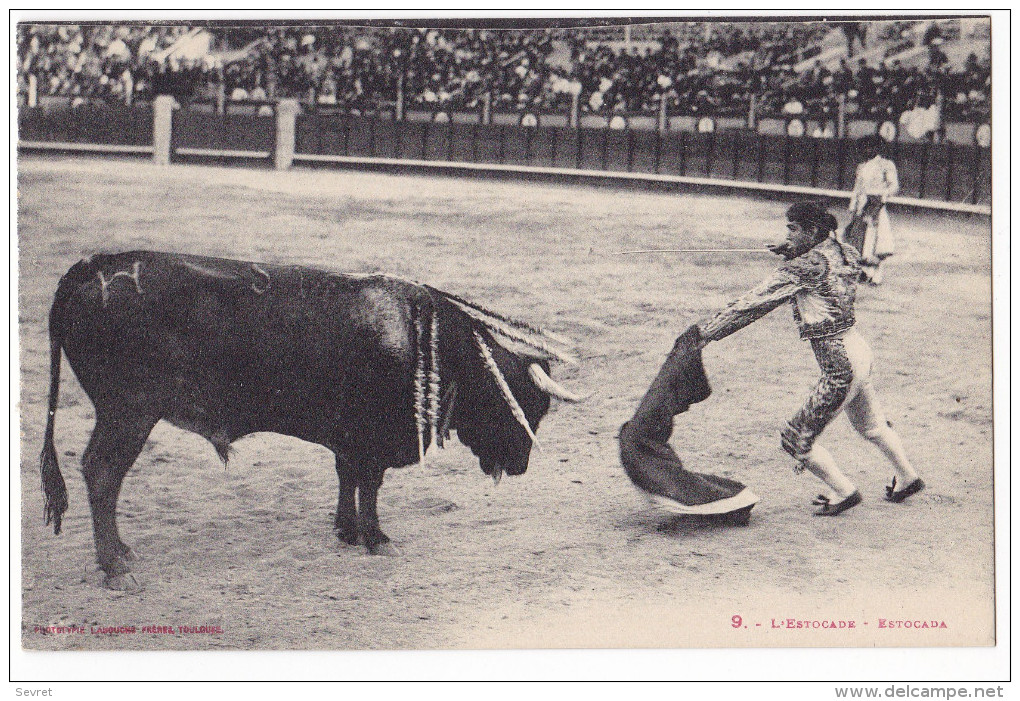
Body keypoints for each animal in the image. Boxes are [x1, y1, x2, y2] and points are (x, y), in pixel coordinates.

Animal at [39, 251, 583, 587]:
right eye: (528, 405)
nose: (521, 466)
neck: (430, 344)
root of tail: (93, 267)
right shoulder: (374, 438)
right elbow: (370, 485)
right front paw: (377, 539)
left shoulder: (349, 438)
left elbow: (347, 476)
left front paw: (346, 531)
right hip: (127, 413)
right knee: (102, 473)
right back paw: (115, 567)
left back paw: (122, 553)